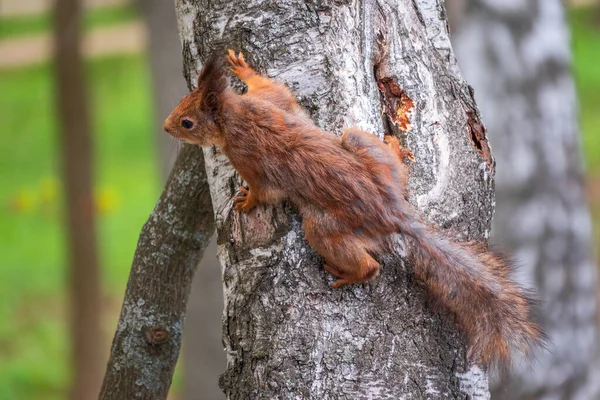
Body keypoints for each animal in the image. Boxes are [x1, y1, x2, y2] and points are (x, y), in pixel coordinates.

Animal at [163, 49, 544, 368]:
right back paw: (394, 147)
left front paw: (246, 201)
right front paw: (243, 69)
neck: (234, 115)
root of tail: (390, 210)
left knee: (369, 266)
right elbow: (276, 90)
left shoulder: (250, 161)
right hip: (359, 143)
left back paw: (346, 272)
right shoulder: (271, 103)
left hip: (323, 227)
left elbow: (264, 191)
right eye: (183, 101)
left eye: (187, 123)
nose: (166, 127)